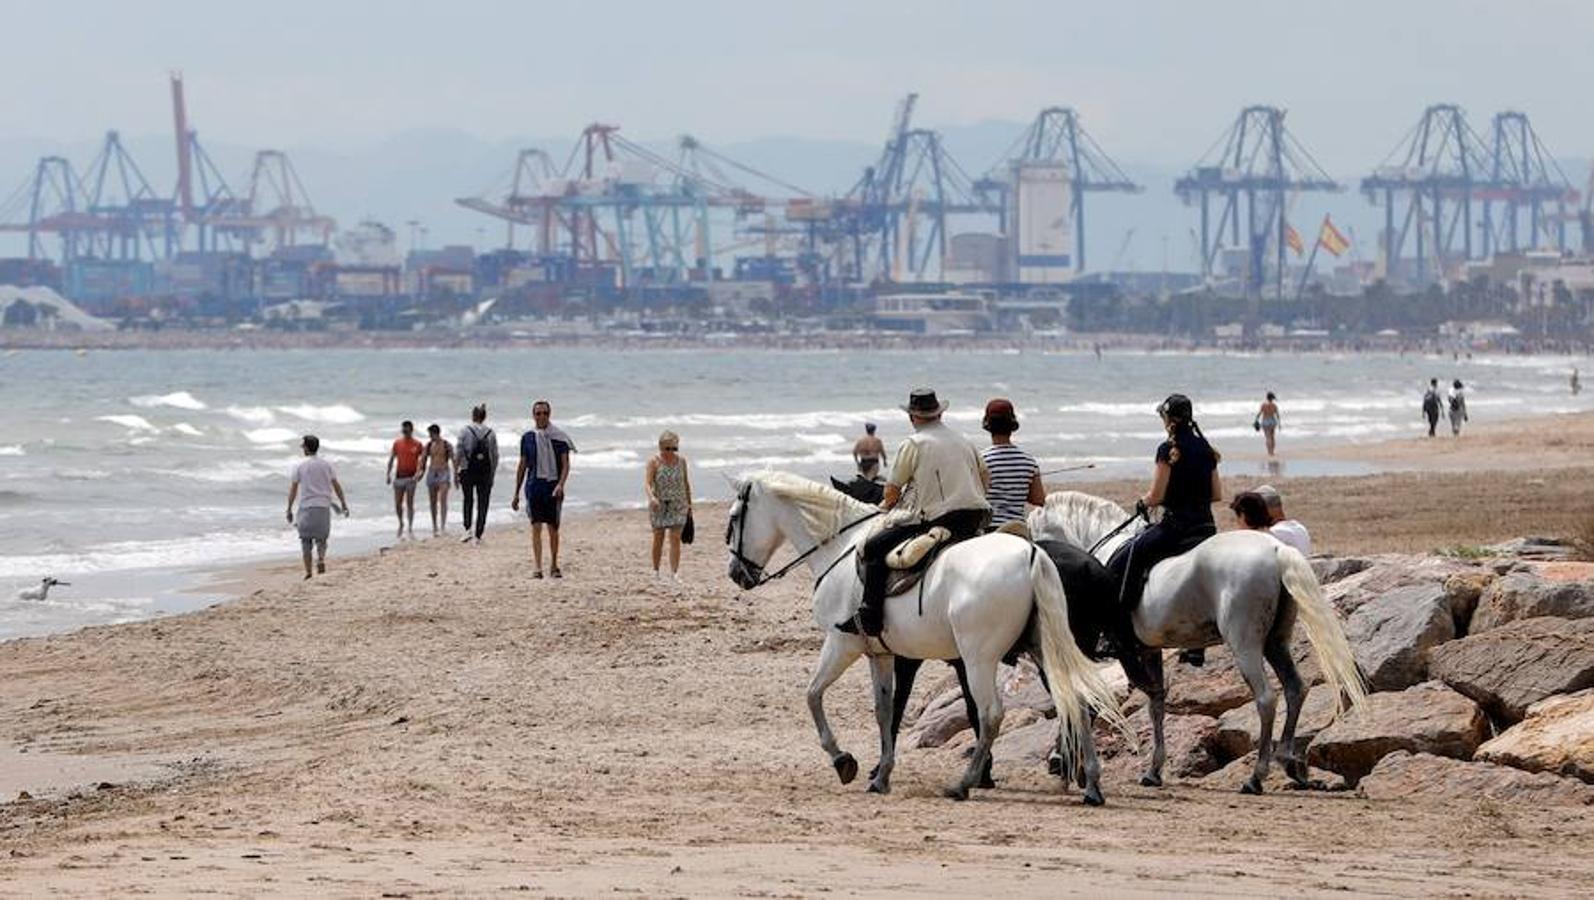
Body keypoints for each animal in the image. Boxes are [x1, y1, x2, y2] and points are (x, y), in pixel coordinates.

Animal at [723, 471, 1122, 799]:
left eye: (733, 518)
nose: (735, 573)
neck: (842, 548)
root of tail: (1032, 554)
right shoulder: (882, 654)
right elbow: (885, 711)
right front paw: (881, 775)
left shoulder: (842, 644)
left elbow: (813, 696)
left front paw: (843, 760)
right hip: (1044, 651)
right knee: (1078, 702)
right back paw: (1089, 782)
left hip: (979, 659)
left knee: (993, 714)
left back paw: (965, 783)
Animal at [1032, 490, 1370, 793]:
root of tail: (1276, 549)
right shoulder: (1150, 651)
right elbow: (1156, 704)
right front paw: (1153, 770)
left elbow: (1087, 700)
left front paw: (1065, 761)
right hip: (1276, 642)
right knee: (1294, 689)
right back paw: (1289, 763)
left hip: (1245, 644)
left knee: (1266, 699)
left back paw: (1256, 777)